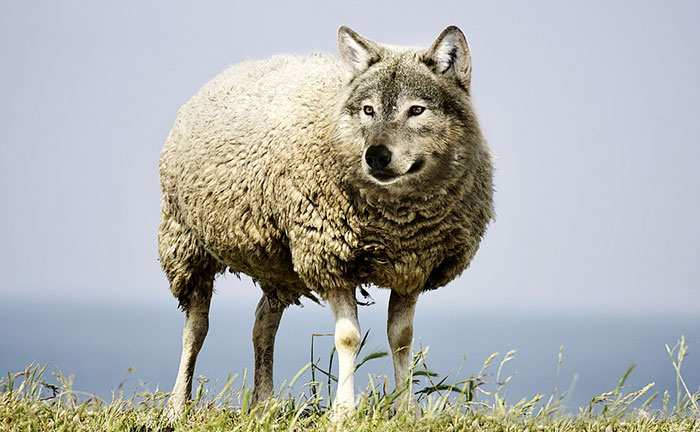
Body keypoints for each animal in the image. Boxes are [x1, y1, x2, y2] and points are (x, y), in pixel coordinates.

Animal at [158, 25, 494, 418]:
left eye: (417, 110)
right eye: (368, 109)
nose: (376, 156)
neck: (396, 221)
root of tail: (235, 68)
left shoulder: (412, 266)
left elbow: (401, 338)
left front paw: (406, 409)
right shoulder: (330, 258)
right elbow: (348, 338)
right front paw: (345, 411)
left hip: (278, 264)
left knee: (263, 323)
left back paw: (263, 405)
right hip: (185, 242)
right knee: (195, 328)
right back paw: (177, 406)